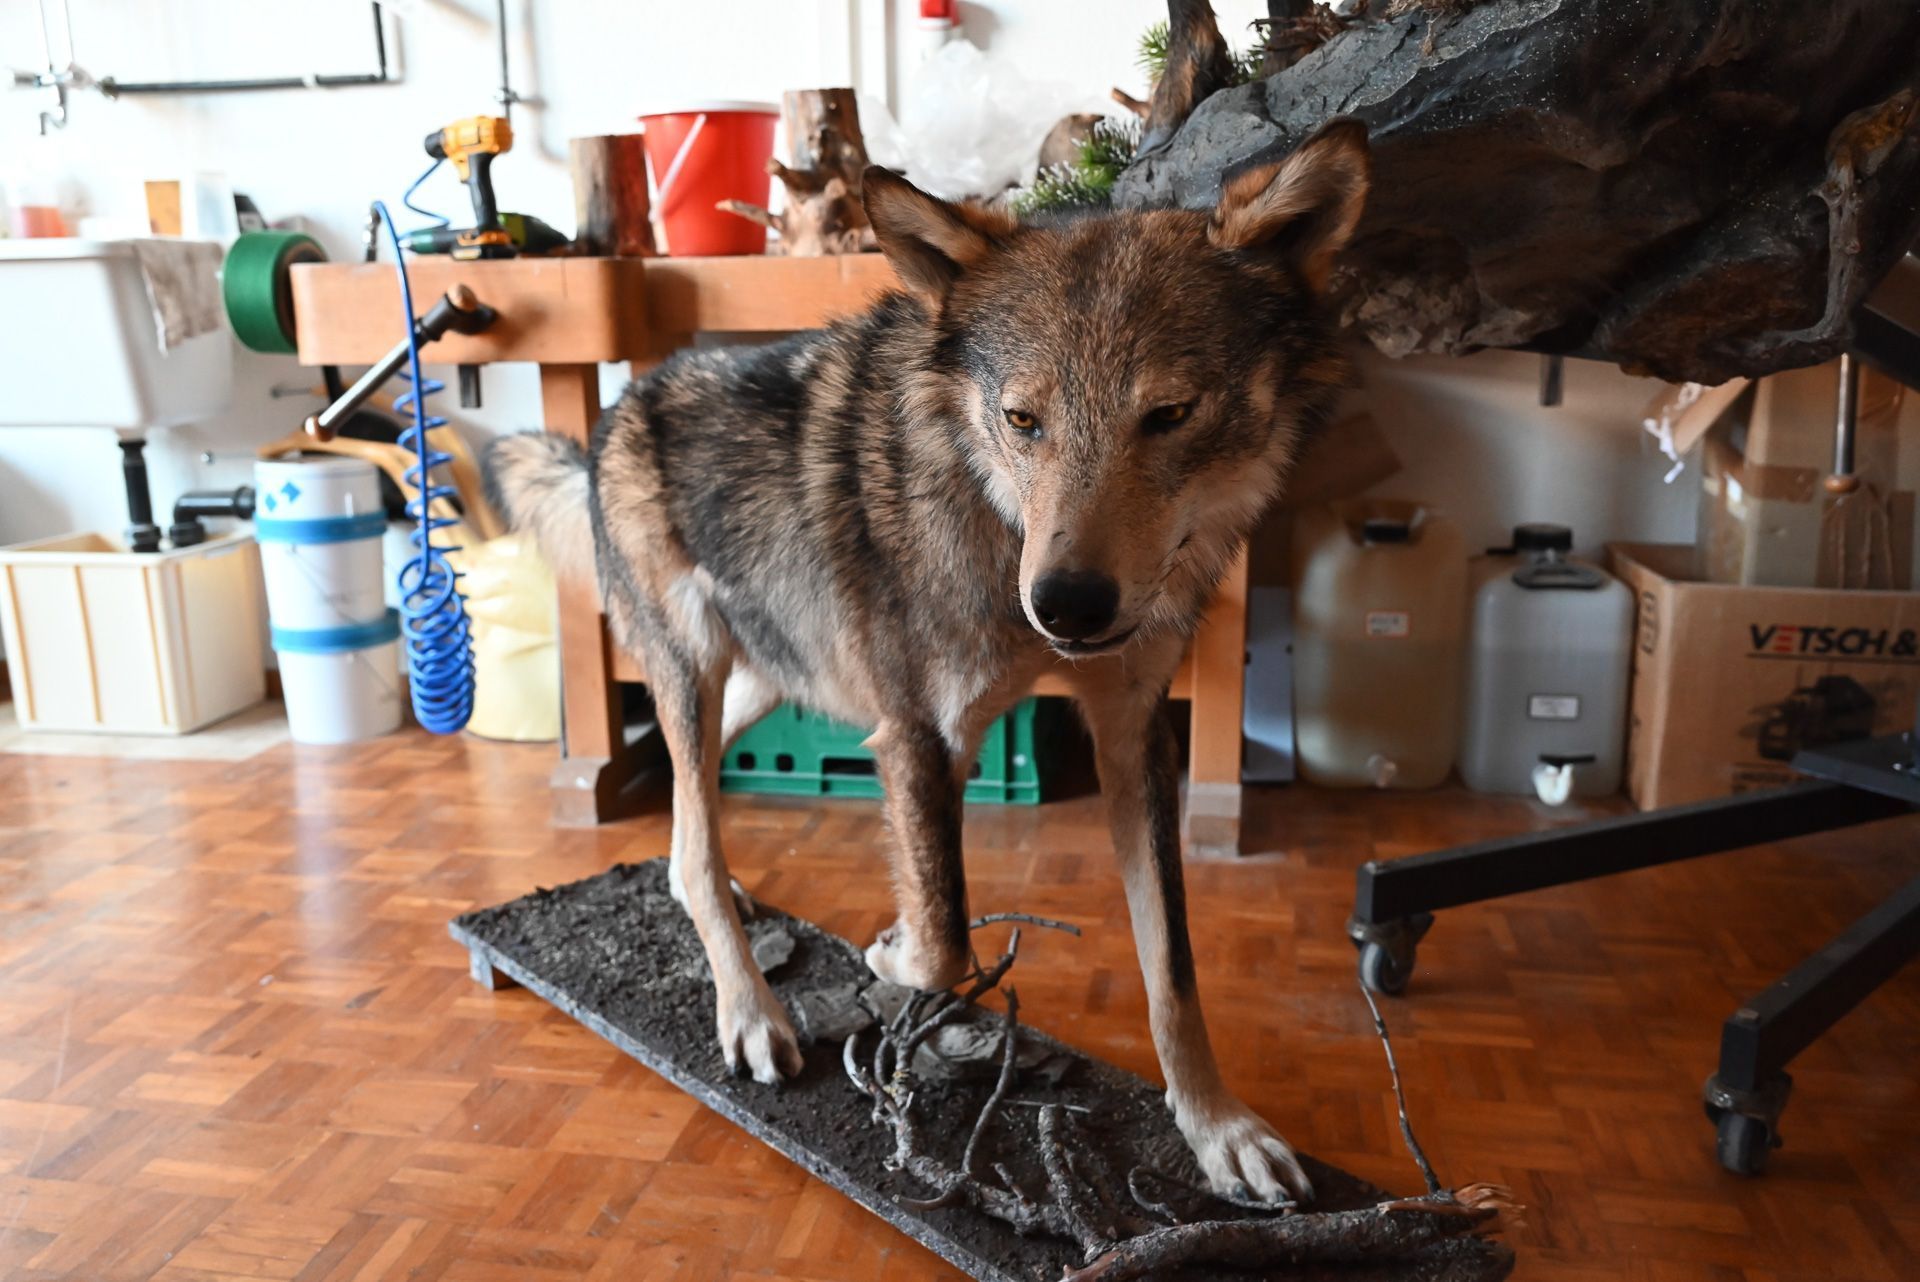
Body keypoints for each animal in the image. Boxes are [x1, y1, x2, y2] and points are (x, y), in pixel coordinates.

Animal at [486, 119, 1369, 1204]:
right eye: (1023, 420)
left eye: (1170, 415)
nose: (1069, 603)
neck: (996, 521)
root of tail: (613, 413)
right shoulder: (916, 733)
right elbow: (946, 937)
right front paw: (892, 951)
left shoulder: (1133, 730)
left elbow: (1174, 970)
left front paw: (1218, 1129)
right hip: (698, 670)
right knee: (690, 832)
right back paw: (751, 1013)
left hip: (772, 677)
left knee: (692, 823)